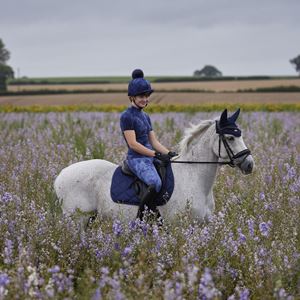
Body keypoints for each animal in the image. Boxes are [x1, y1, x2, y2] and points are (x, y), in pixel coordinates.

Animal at [53, 109, 253, 226]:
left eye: (240, 135)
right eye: (230, 138)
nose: (249, 164)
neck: (194, 178)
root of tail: (60, 176)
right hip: (77, 219)